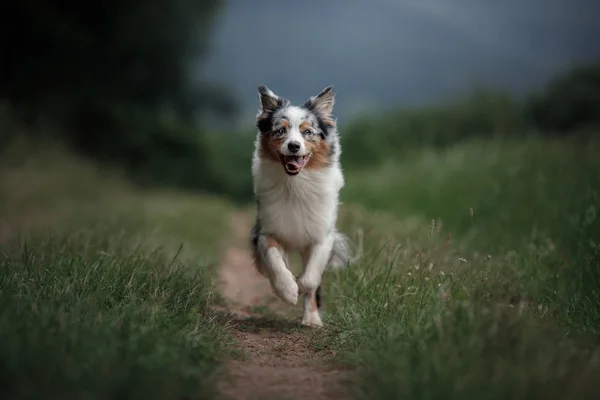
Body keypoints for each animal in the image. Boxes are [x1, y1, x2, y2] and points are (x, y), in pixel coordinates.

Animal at [250, 86, 358, 326]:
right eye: (280, 130)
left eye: (307, 132)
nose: (294, 145)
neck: (296, 184)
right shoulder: (266, 231)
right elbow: (274, 260)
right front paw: (287, 290)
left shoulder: (322, 236)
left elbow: (310, 280)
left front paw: (301, 292)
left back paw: (311, 319)